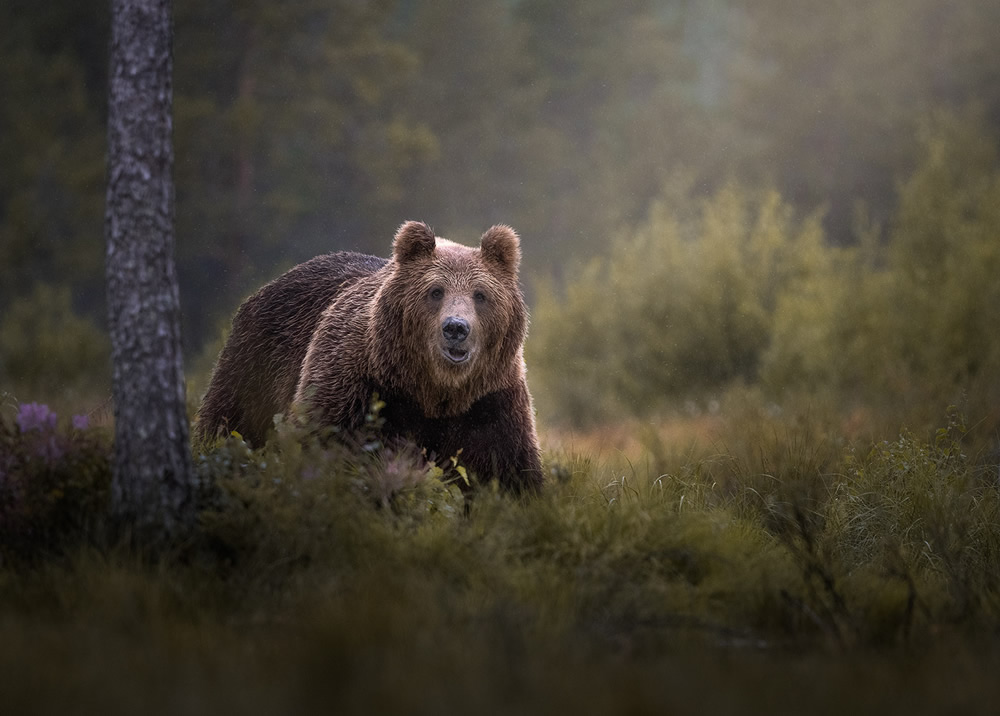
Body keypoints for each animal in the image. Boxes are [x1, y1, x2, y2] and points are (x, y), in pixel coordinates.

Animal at [192, 221, 544, 492]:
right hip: (255, 364)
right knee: (231, 424)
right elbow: (322, 440)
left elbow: (505, 467)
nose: (456, 328)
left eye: (480, 295)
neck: (433, 390)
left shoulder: (490, 400)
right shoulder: (358, 380)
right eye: (435, 291)